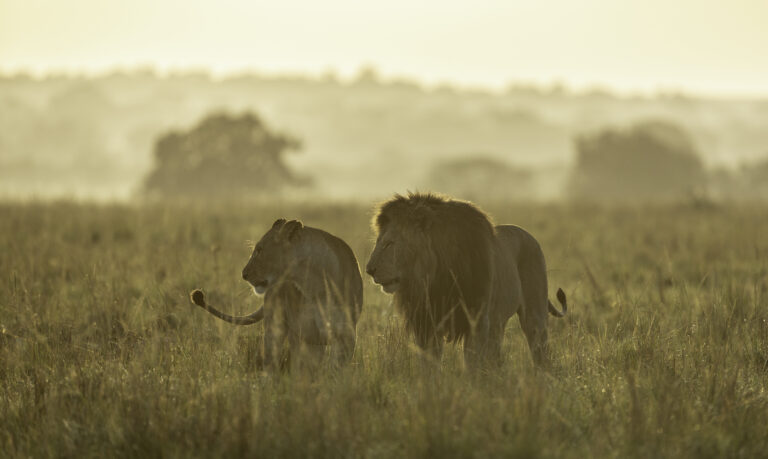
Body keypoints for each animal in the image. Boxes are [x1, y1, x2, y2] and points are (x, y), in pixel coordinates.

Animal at [190, 218, 363, 370]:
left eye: (259, 250)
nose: (244, 274)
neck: (312, 285)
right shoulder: (301, 335)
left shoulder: (345, 336)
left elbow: (335, 369)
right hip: (275, 326)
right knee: (270, 359)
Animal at [366, 193, 567, 368]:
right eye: (377, 242)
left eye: (389, 243)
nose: (368, 270)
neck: (434, 278)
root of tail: (528, 234)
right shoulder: (427, 324)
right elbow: (429, 365)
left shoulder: (476, 321)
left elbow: (472, 363)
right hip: (498, 322)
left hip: (534, 314)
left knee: (538, 348)